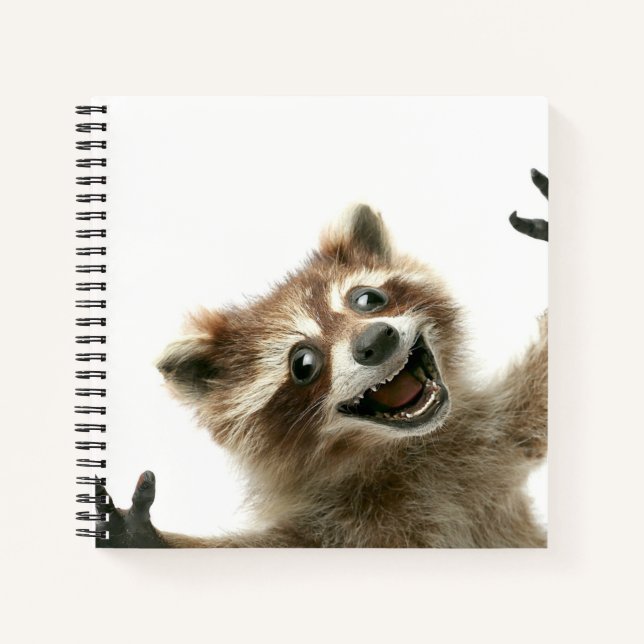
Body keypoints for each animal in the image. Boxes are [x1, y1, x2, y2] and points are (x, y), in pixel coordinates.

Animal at [99, 179, 548, 548]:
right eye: (303, 364)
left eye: (367, 299)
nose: (375, 341)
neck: (404, 450)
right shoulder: (344, 526)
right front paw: (150, 538)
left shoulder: (492, 441)